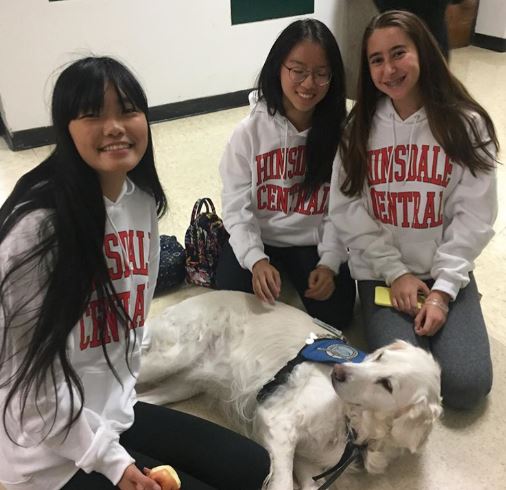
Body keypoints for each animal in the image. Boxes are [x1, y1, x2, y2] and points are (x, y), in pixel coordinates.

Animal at [139, 292, 442, 488]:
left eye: (388, 385)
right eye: (379, 357)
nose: (338, 371)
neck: (351, 420)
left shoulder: (309, 462)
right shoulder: (277, 422)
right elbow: (283, 483)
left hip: (182, 385)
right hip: (170, 357)